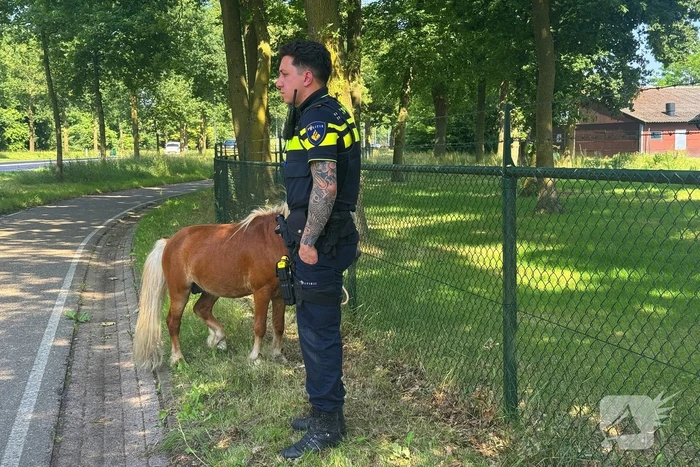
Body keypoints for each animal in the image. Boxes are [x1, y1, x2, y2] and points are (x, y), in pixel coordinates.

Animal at [133, 202, 290, 371]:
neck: (272, 239)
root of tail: (169, 242)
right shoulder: (261, 292)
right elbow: (260, 326)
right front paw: (255, 357)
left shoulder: (280, 295)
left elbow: (279, 325)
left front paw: (277, 354)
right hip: (180, 292)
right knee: (173, 322)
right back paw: (178, 358)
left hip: (212, 290)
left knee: (201, 308)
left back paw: (218, 339)